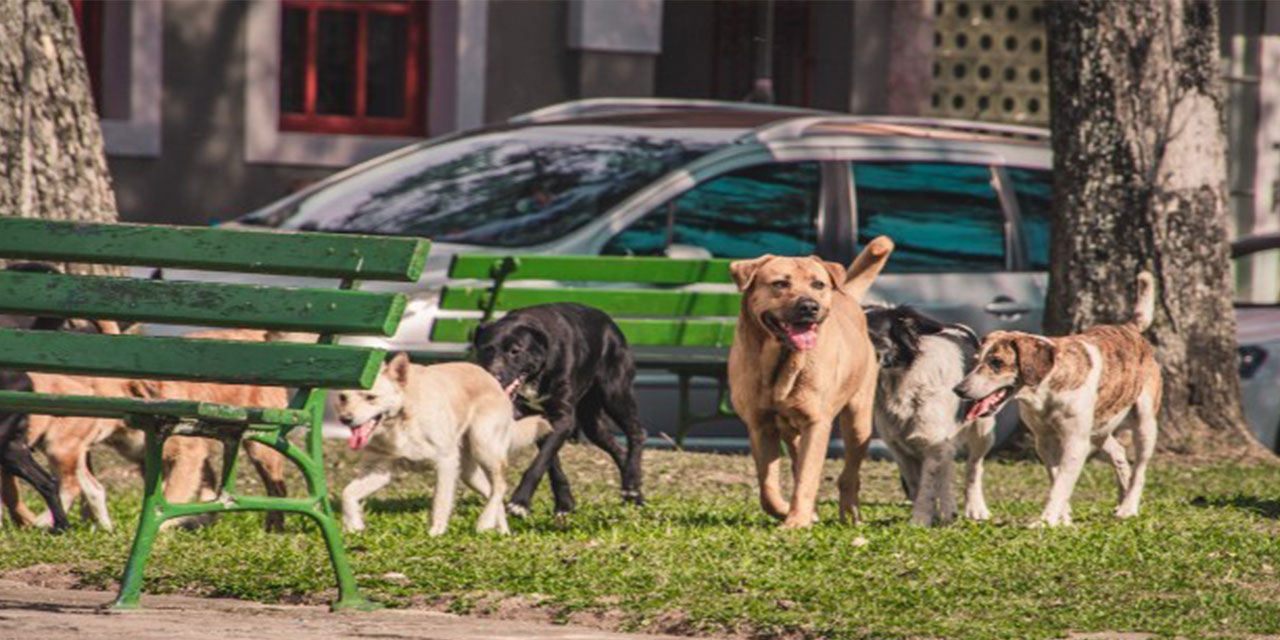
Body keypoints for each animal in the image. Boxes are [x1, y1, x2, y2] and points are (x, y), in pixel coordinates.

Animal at [335, 355, 550, 535]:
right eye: (342, 397)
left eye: (370, 397)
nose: (345, 419)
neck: (401, 420)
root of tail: (492, 380)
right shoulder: (379, 471)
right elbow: (347, 493)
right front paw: (353, 524)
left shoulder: (445, 462)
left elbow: (440, 501)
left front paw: (436, 533)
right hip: (468, 472)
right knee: (492, 492)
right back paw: (502, 532)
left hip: (484, 448)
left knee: (501, 486)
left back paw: (485, 522)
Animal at [471, 302, 645, 517]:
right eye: (486, 349)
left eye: (514, 351)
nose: (493, 377)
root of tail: (611, 324)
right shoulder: (540, 421)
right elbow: (551, 463)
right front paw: (564, 503)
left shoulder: (563, 419)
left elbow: (540, 462)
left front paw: (520, 502)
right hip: (592, 423)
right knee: (618, 449)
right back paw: (633, 491)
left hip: (615, 394)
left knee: (636, 433)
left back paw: (632, 483)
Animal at [727, 238, 896, 527]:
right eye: (780, 283)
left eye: (818, 284)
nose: (809, 306)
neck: (781, 362)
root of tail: (845, 295)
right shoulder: (760, 425)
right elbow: (767, 486)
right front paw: (785, 510)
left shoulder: (817, 423)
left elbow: (807, 477)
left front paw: (796, 520)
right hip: (792, 429)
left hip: (858, 420)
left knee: (849, 475)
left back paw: (850, 514)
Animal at [865, 304, 993, 524]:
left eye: (869, 334)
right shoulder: (899, 448)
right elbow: (917, 484)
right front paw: (930, 516)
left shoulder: (932, 443)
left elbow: (927, 486)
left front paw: (920, 521)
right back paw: (950, 510)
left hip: (982, 430)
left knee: (974, 467)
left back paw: (975, 509)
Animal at [957, 272, 1167, 527]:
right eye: (975, 360)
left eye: (996, 362)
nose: (959, 389)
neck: (1045, 391)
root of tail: (1130, 328)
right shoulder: (1044, 440)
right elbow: (1056, 477)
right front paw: (1063, 517)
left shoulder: (1075, 442)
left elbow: (1060, 485)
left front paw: (1046, 521)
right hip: (1098, 430)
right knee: (1117, 451)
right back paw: (1121, 497)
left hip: (1144, 423)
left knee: (1141, 468)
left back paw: (1129, 506)